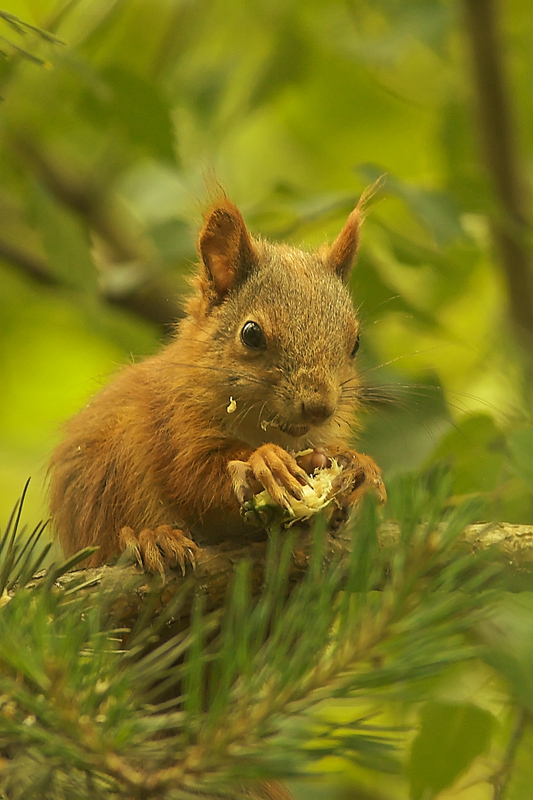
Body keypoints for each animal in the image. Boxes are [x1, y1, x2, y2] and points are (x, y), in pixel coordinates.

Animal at [48, 196, 382, 572]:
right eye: (251, 334)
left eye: (355, 343)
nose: (318, 407)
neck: (264, 429)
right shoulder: (175, 423)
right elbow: (192, 477)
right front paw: (263, 462)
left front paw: (361, 467)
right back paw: (152, 538)